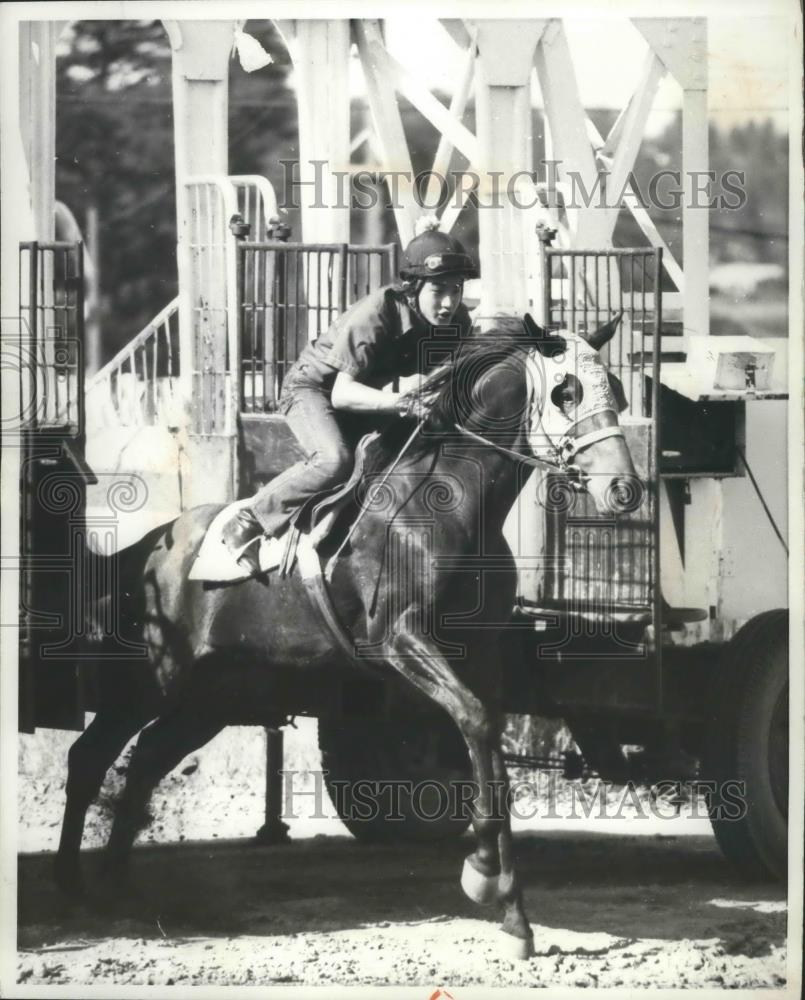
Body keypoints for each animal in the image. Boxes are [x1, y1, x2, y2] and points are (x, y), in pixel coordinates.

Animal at [53, 312, 636, 960]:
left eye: (616, 386)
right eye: (566, 392)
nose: (624, 489)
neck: (444, 503)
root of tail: (142, 550)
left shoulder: (479, 655)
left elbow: (487, 742)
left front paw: (512, 913)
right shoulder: (401, 642)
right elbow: (477, 722)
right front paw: (487, 876)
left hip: (213, 697)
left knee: (148, 758)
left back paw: (117, 883)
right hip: (151, 681)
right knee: (90, 756)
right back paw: (74, 886)